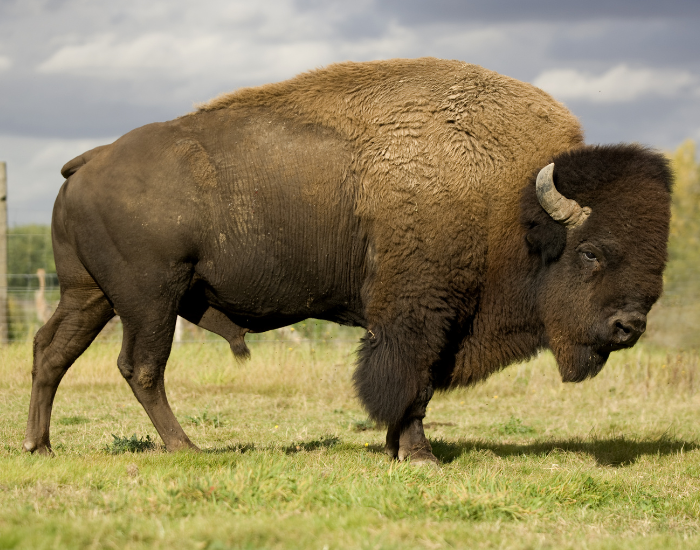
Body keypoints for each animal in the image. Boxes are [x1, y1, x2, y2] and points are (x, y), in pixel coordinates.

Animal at [23, 58, 672, 464]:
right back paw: (185, 448)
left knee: (52, 350)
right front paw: (419, 456)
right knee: (141, 367)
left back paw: (40, 446)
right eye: (590, 252)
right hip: (149, 298)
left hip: (90, 294)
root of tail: (91, 159)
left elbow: (418, 388)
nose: (629, 326)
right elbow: (409, 384)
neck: (508, 201)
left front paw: (400, 449)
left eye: (658, 256)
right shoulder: (417, 318)